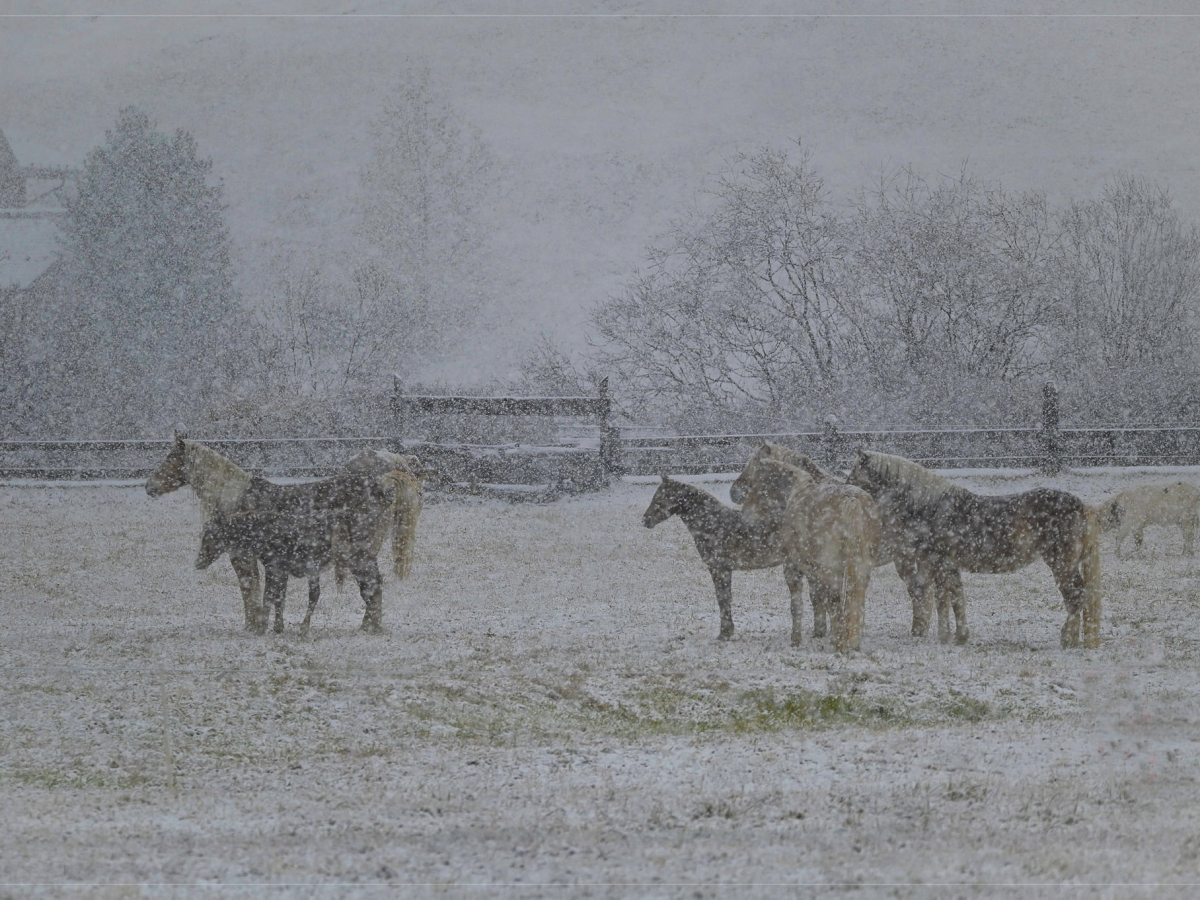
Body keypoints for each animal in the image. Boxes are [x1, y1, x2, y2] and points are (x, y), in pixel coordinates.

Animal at [840, 451, 1099, 648]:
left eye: (853, 475)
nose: (845, 495)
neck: (932, 507)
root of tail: (1079, 504)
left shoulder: (942, 564)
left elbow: (950, 600)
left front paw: (954, 637)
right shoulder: (943, 567)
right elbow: (948, 600)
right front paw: (951, 636)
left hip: (1061, 563)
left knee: (1075, 597)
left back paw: (1067, 639)